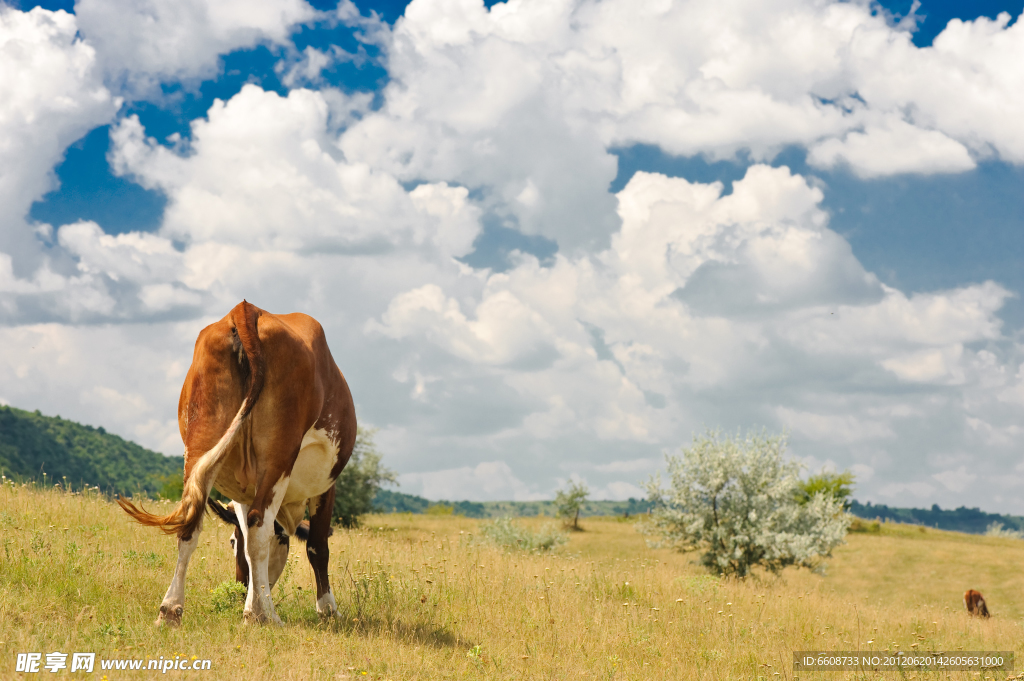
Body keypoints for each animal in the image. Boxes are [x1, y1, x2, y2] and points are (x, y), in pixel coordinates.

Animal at [118, 303, 358, 626]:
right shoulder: (325, 484)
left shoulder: (244, 490)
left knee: (191, 525)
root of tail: (246, 310)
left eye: (231, 542)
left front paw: (251, 604)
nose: (239, 586)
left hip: (199, 447)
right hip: (279, 457)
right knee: (259, 526)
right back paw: (267, 615)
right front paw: (327, 610)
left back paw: (170, 609)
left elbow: (249, 542)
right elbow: (317, 545)